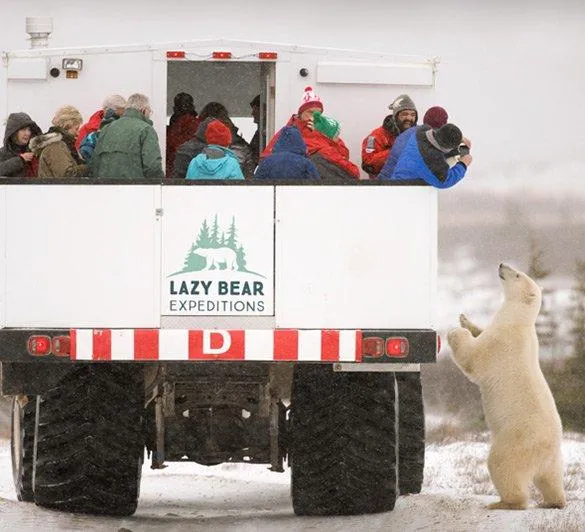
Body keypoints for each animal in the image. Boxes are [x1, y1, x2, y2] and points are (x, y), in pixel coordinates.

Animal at [444, 264, 564, 510]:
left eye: (517, 274)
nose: (501, 264)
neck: (518, 320)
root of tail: (547, 448)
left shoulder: (501, 341)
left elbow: (474, 358)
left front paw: (455, 331)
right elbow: (481, 333)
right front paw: (465, 320)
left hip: (518, 439)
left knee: (502, 464)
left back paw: (505, 502)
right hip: (554, 459)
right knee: (551, 478)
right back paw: (552, 502)